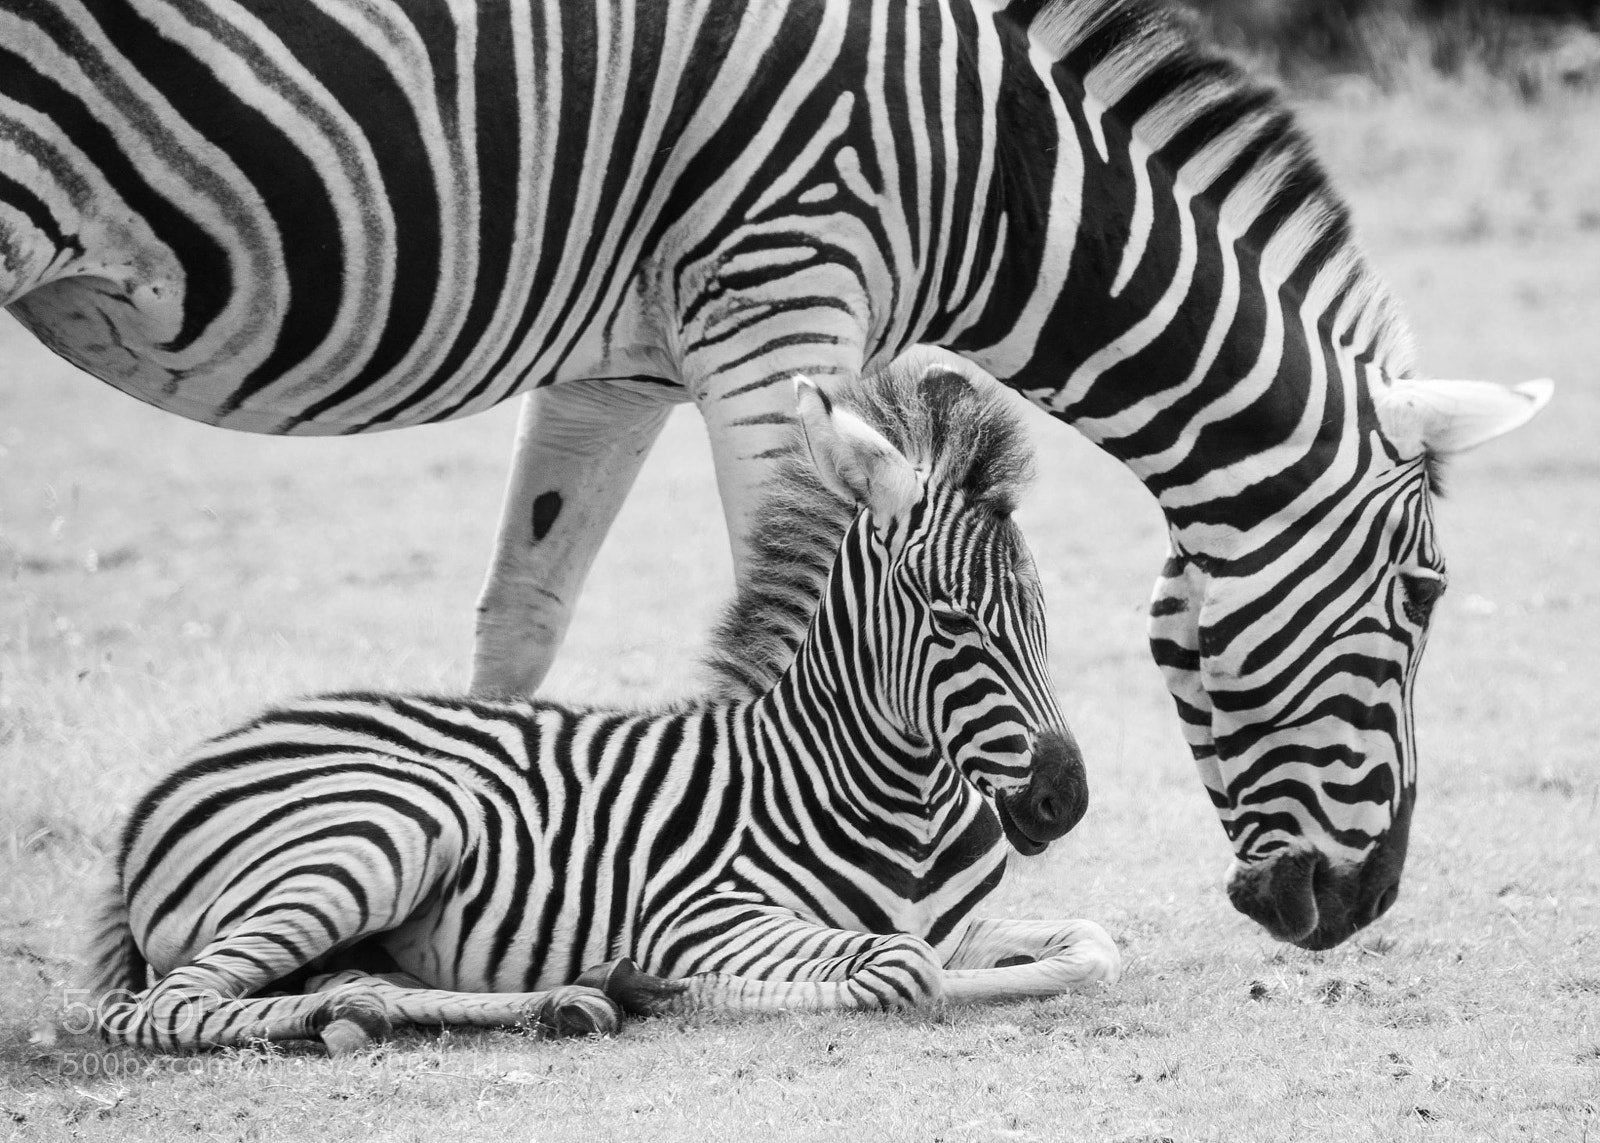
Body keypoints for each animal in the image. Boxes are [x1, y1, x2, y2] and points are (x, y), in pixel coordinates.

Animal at [2, 0, 1550, 947]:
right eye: (1424, 598)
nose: (1362, 902)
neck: (994, 173)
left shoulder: (621, 358)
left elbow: (524, 618)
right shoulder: (779, 298)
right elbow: (790, 586)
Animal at [84, 363, 1121, 1055]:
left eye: (1042, 611)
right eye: (953, 620)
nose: (1064, 799)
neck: (902, 804)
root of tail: (171, 779)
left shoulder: (954, 924)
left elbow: (1092, 945)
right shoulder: (704, 914)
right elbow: (905, 969)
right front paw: (664, 987)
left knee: (341, 983)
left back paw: (530, 1004)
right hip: (389, 825)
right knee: (163, 1004)